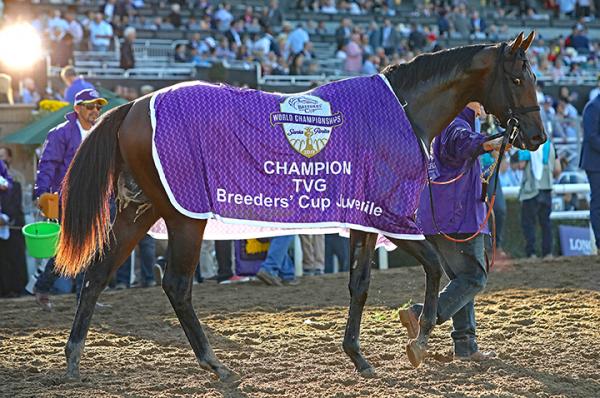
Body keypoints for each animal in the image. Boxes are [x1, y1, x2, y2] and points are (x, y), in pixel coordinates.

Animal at [55, 32, 544, 380]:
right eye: (518, 78)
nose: (536, 136)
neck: (401, 111)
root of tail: (135, 104)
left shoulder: (362, 218)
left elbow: (360, 284)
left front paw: (358, 356)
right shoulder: (389, 215)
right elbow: (433, 268)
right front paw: (419, 341)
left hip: (140, 210)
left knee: (97, 274)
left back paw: (74, 359)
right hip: (184, 217)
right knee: (175, 284)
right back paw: (215, 364)